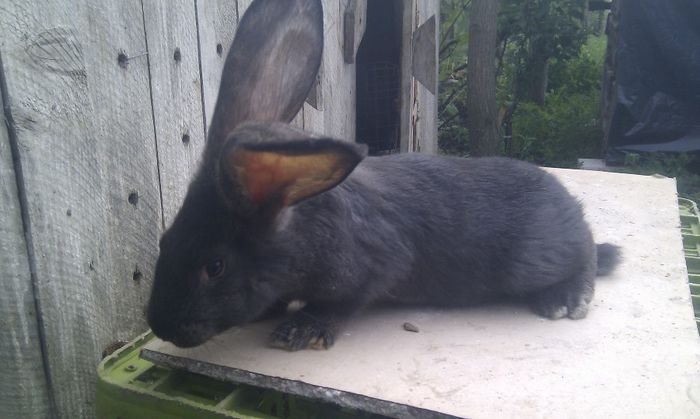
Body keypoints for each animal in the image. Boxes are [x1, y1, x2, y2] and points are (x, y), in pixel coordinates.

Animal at [146, 0, 616, 352]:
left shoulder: (374, 267)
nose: (160, 326)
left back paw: (566, 299)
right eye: (164, 242)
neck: (297, 229)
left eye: (215, 266)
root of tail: (568, 206)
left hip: (535, 259)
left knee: (585, 256)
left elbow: (344, 302)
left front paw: (300, 330)